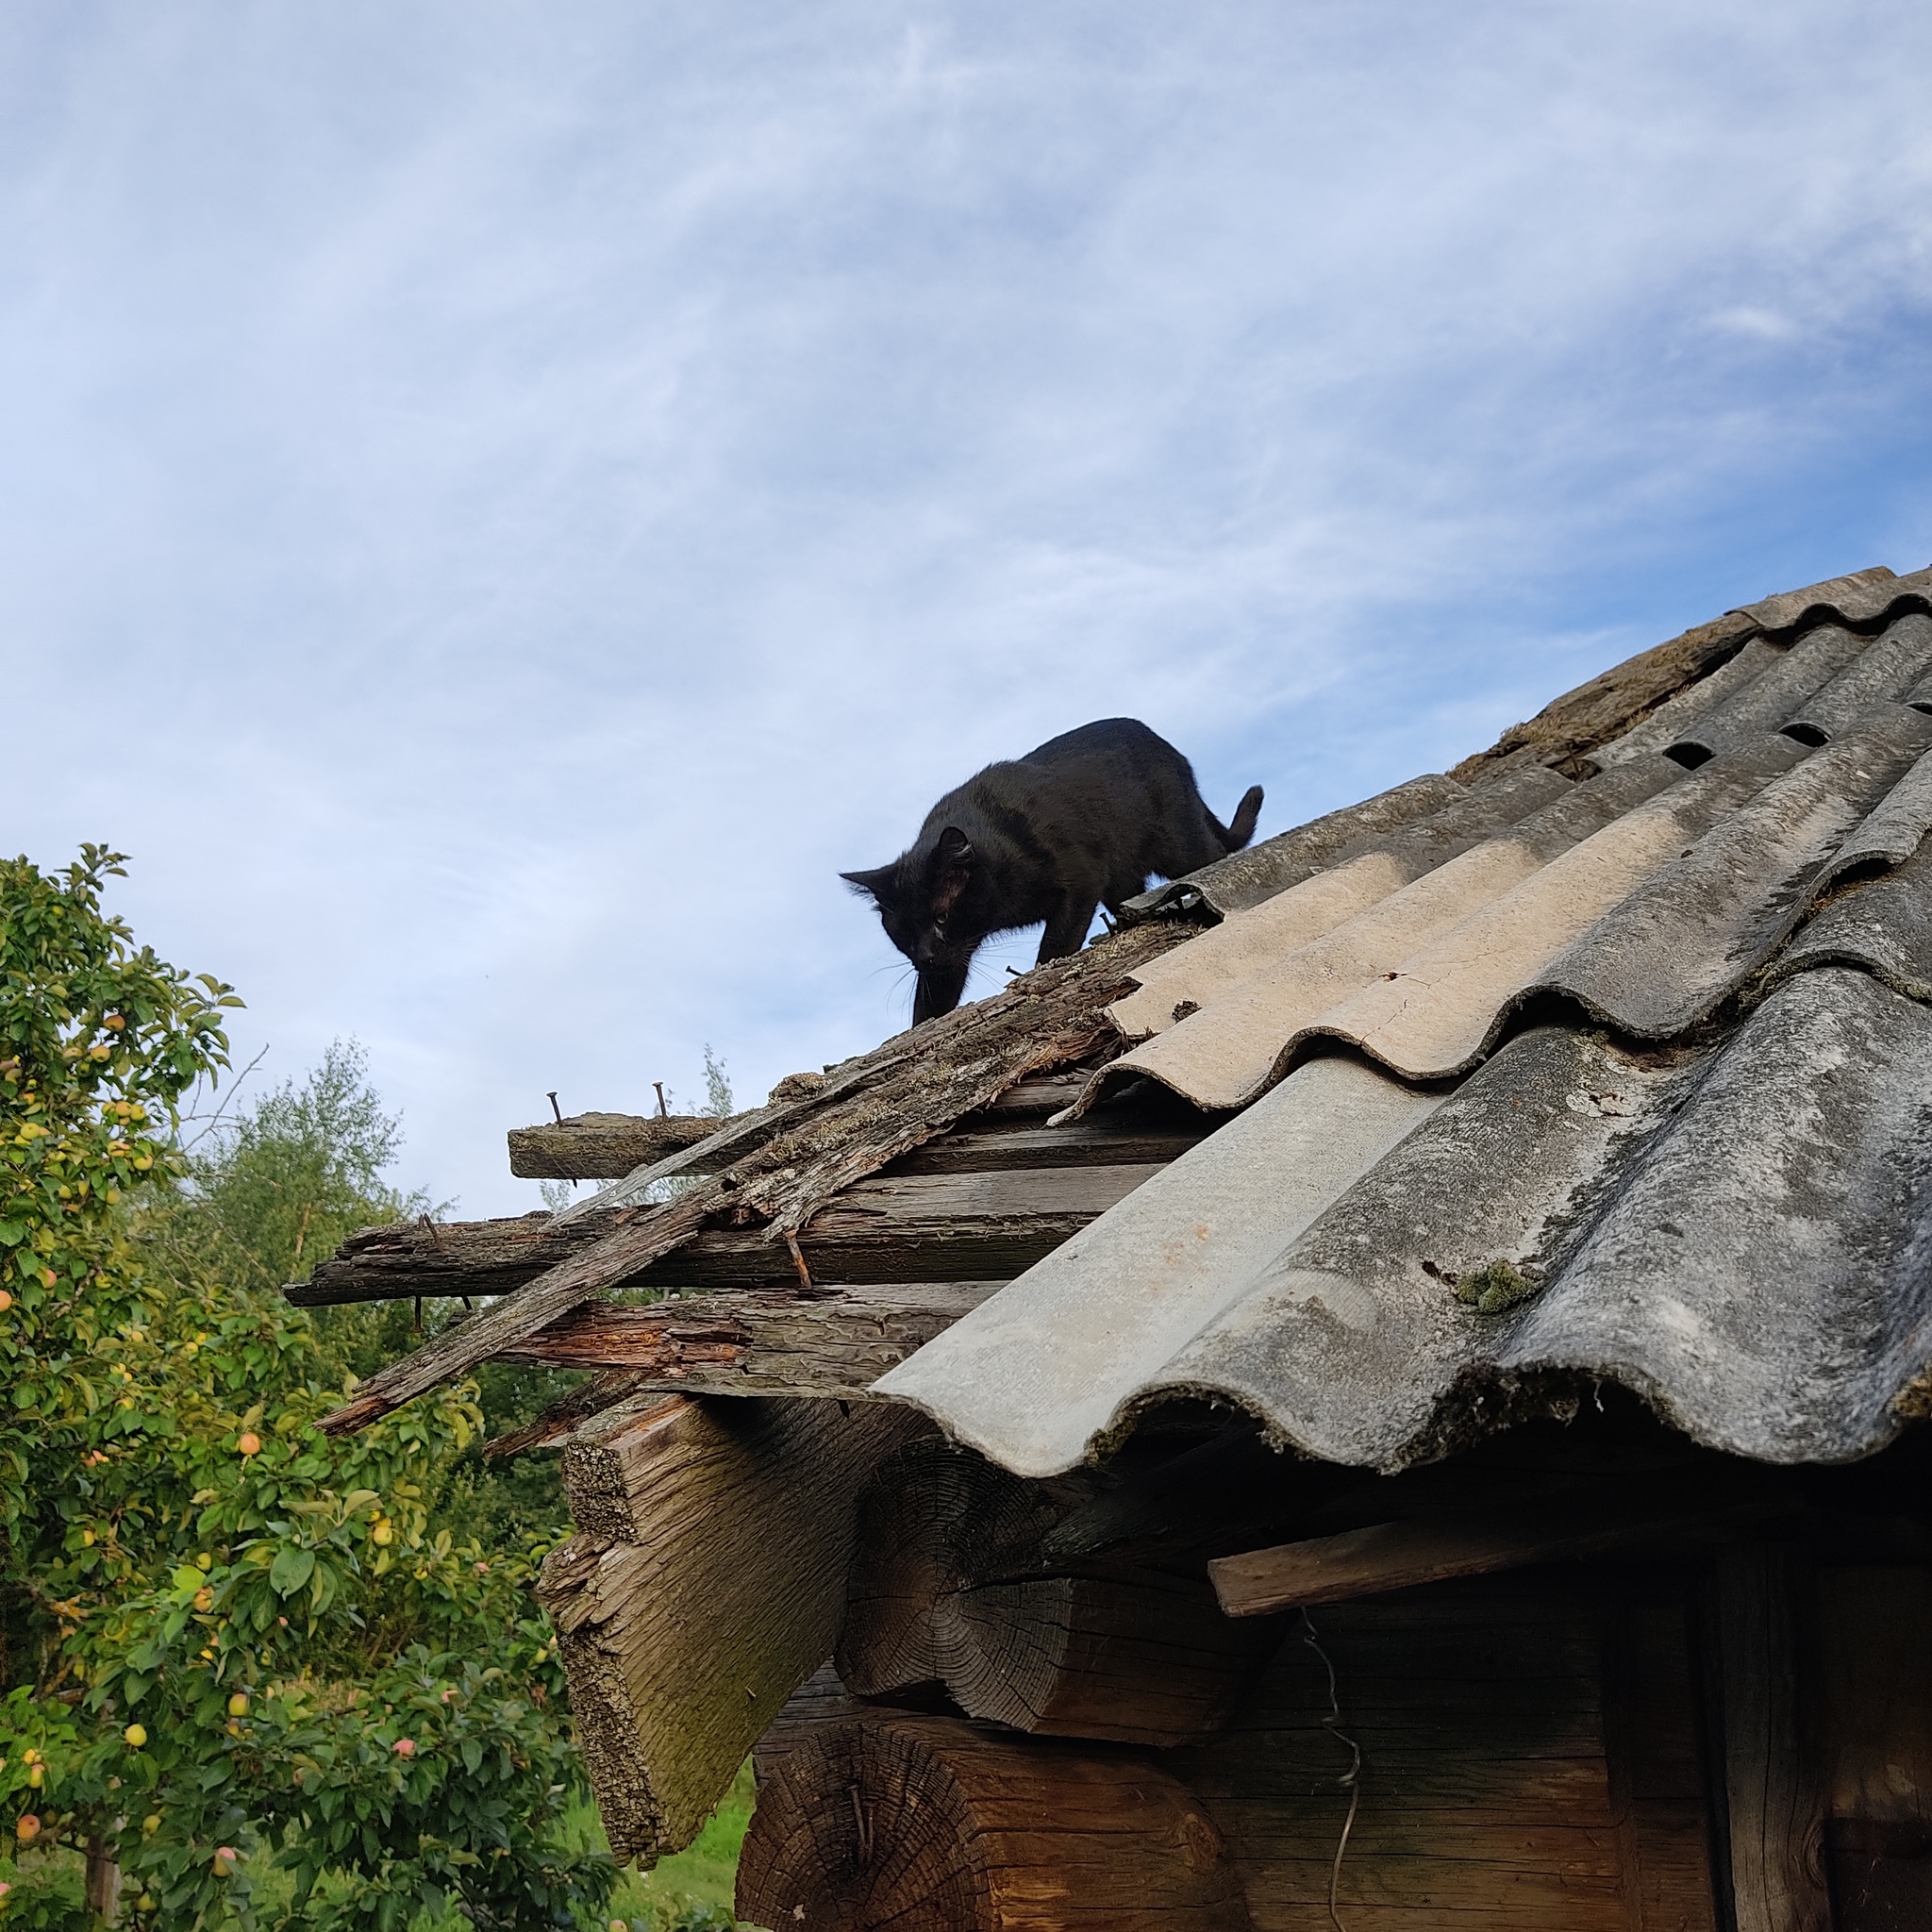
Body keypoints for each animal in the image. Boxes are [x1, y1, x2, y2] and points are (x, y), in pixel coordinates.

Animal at [838, 718, 1259, 1027]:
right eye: (903, 932)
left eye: (941, 917)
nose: (924, 955)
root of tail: (1170, 750)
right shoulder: (947, 963)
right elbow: (929, 1004)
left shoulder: (1081, 880)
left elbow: (1055, 943)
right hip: (1125, 879)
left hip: (1180, 845)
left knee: (1216, 854)